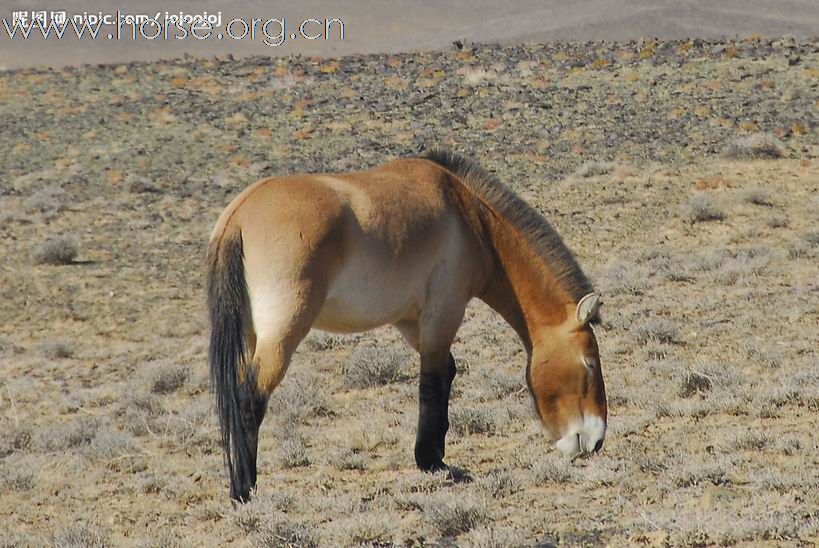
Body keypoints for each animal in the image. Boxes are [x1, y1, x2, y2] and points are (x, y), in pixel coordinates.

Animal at [208, 149, 608, 500]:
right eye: (589, 364)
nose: (595, 440)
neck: (468, 214)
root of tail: (239, 217)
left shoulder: (411, 321)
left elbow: (446, 374)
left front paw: (436, 454)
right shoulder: (443, 313)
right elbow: (431, 382)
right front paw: (429, 460)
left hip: (252, 335)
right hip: (282, 334)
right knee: (249, 398)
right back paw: (244, 489)